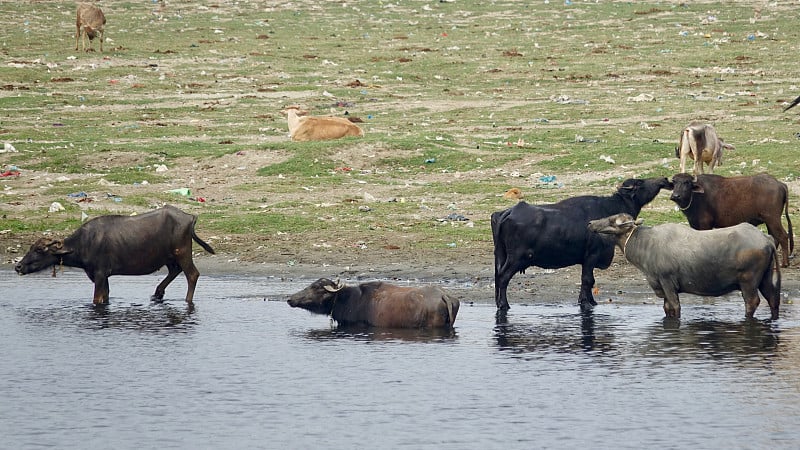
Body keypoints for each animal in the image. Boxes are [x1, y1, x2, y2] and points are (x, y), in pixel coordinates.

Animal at [15, 205, 216, 304]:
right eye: (31, 247)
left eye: (39, 249)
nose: (18, 266)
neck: (83, 244)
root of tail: (190, 217)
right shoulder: (103, 277)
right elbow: (106, 297)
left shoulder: (99, 274)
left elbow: (96, 299)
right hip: (169, 257)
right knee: (174, 270)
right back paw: (157, 294)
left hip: (182, 252)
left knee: (192, 274)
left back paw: (186, 300)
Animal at [490, 176, 672, 310]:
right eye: (640, 182)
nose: (664, 179)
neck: (609, 210)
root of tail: (508, 212)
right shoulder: (591, 255)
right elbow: (587, 280)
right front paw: (586, 303)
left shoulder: (586, 260)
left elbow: (589, 281)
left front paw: (591, 301)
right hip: (516, 258)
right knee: (503, 277)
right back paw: (504, 305)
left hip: (501, 255)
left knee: (498, 277)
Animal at [588, 212, 780, 320]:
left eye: (612, 220)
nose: (590, 223)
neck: (646, 244)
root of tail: (767, 240)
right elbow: (667, 308)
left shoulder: (667, 281)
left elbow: (675, 306)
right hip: (765, 278)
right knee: (773, 299)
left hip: (748, 281)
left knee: (752, 302)